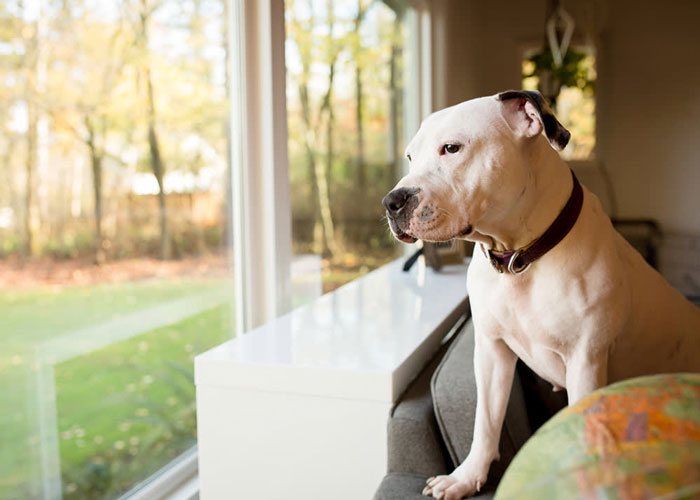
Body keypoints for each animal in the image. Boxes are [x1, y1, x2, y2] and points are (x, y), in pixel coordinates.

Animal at [382, 91, 700, 500]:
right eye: (409, 156)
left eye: (451, 148)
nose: (392, 202)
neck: (522, 256)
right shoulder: (492, 353)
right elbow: (486, 422)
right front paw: (467, 476)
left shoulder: (585, 363)